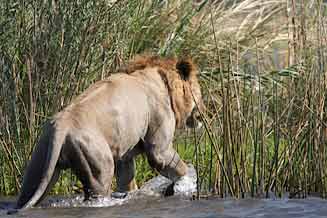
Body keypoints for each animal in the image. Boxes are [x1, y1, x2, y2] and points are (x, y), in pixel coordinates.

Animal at [16, 55, 205, 209]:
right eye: (200, 92)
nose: (203, 114)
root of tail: (60, 126)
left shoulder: (125, 156)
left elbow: (127, 181)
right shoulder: (159, 148)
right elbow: (177, 167)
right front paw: (188, 182)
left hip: (38, 166)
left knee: (27, 193)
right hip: (99, 166)